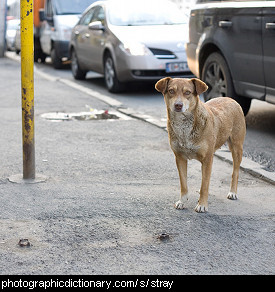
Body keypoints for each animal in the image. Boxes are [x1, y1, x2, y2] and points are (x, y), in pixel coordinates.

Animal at [156, 78, 247, 212]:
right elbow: (184, 184)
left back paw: (233, 192)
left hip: (236, 147)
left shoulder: (207, 159)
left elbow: (205, 185)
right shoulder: (180, 158)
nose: (178, 105)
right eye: (171, 91)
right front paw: (182, 201)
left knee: (235, 172)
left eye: (187, 92)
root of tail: (230, 99)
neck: (184, 127)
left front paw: (202, 204)